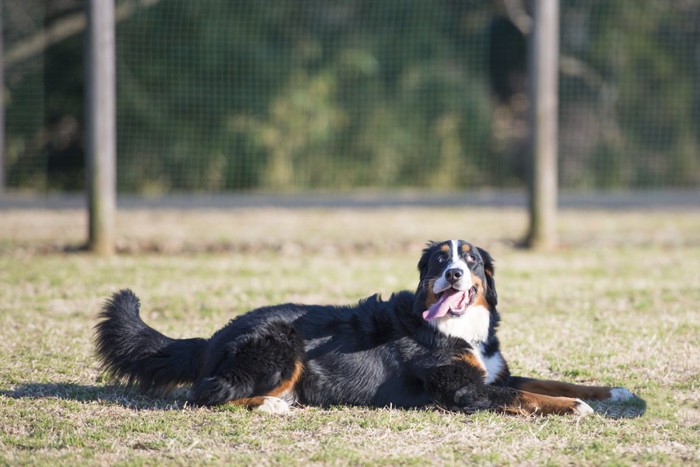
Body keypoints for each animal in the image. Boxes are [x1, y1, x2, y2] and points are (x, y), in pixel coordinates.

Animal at [93, 241, 636, 416]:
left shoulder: (490, 371)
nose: (453, 274)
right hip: (281, 346)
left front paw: (613, 392)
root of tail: (214, 337)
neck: (457, 328)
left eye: (472, 260)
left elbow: (549, 381)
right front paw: (576, 407)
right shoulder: (463, 390)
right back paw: (271, 405)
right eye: (440, 260)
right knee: (207, 393)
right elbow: (530, 396)